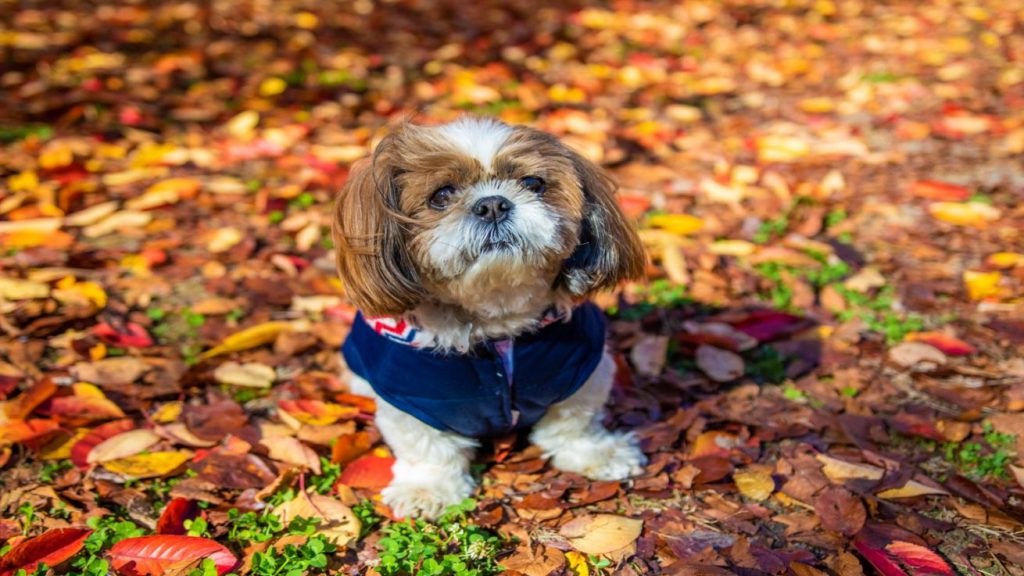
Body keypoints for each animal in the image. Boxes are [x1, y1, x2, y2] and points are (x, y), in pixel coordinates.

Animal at [331, 115, 643, 516]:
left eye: (532, 183)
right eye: (441, 195)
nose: (493, 204)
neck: (497, 329)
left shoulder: (580, 370)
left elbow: (575, 423)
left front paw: (596, 455)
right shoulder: (414, 398)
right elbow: (428, 448)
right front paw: (427, 489)